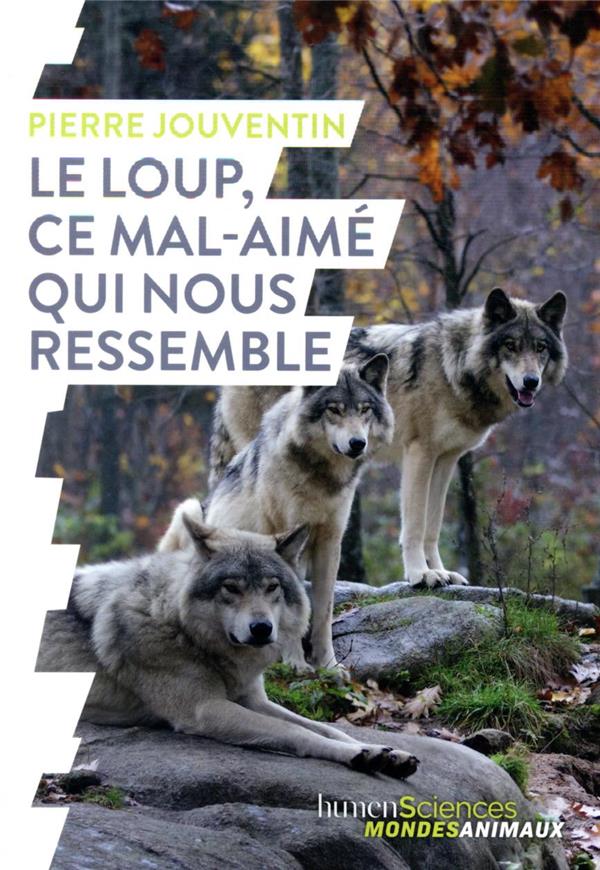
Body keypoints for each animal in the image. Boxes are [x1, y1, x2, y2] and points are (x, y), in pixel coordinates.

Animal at [36, 514, 418, 778]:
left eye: (271, 587)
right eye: (231, 588)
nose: (261, 628)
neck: (180, 627)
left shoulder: (252, 699)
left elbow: (325, 727)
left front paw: (382, 751)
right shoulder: (205, 709)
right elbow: (296, 731)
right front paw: (356, 755)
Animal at [165, 355, 394, 673]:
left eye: (364, 409)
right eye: (334, 409)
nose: (357, 443)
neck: (320, 477)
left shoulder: (330, 541)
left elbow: (322, 612)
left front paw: (329, 665)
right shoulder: (288, 538)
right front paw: (295, 663)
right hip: (188, 509)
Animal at [209, 288, 568, 589]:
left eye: (540, 348)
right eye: (510, 346)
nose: (531, 381)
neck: (452, 366)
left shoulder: (446, 458)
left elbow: (433, 525)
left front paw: (441, 571)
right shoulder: (419, 454)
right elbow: (414, 525)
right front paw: (421, 574)